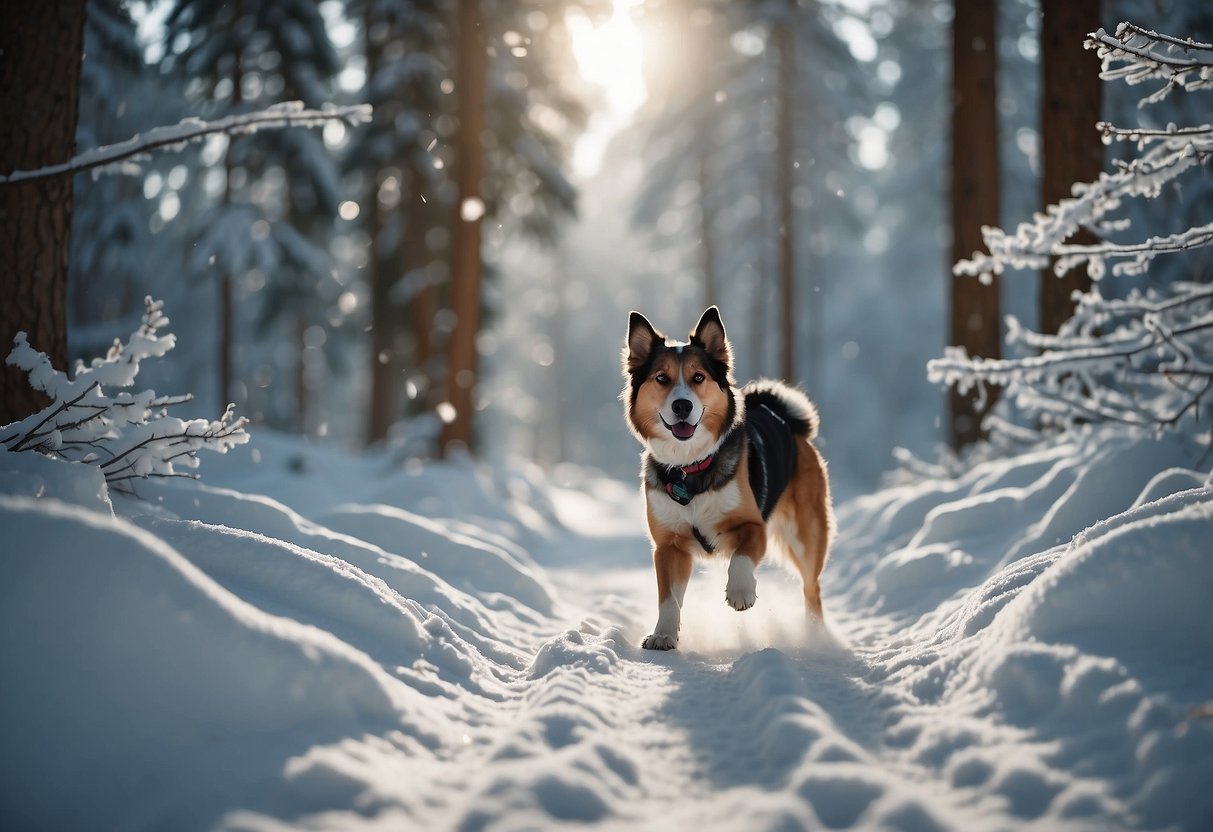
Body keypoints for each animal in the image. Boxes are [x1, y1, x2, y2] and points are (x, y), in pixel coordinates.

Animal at [625, 306, 834, 650]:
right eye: (661, 378)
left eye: (698, 377)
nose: (682, 405)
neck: (689, 468)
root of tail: (785, 418)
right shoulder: (668, 547)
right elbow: (668, 598)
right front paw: (663, 635)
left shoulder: (754, 526)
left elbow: (741, 557)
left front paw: (740, 593)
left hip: (807, 534)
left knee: (811, 589)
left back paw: (816, 636)